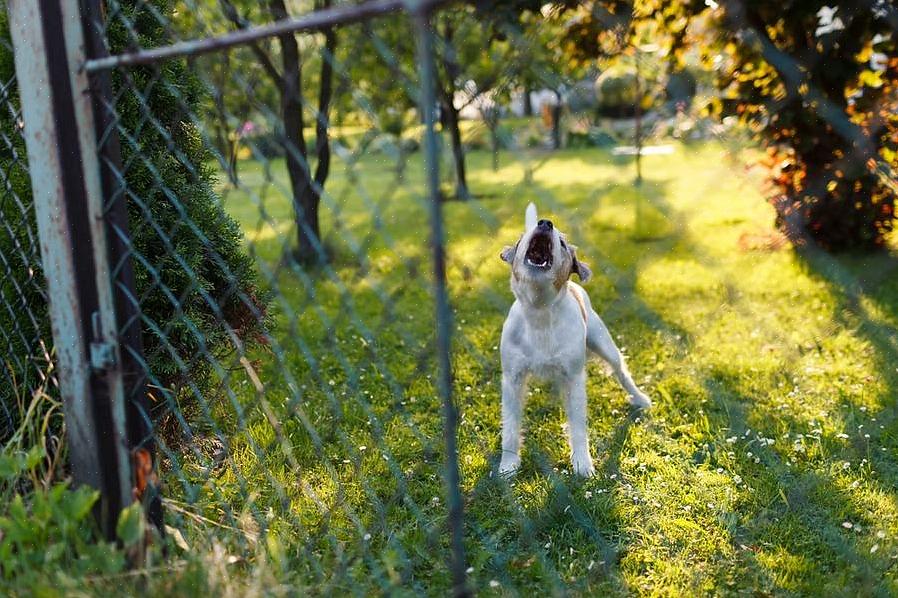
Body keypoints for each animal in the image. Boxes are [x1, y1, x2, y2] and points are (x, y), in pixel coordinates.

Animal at [496, 205, 652, 478]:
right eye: (522, 238)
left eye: (562, 243)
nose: (545, 223)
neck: (540, 312)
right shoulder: (512, 379)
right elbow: (511, 428)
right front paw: (508, 465)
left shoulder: (574, 378)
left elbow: (578, 426)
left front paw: (582, 464)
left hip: (606, 346)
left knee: (622, 372)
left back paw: (640, 398)